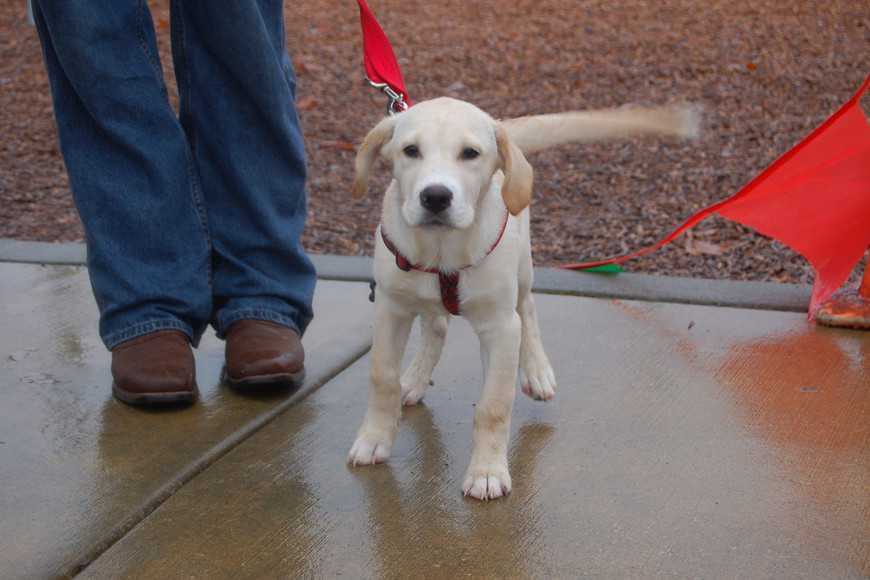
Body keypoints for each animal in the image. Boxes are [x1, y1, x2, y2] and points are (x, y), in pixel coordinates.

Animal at [350, 97, 700, 500]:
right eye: (410, 151)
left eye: (470, 153)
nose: (435, 197)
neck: (442, 249)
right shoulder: (390, 309)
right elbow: (382, 376)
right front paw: (373, 439)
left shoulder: (501, 327)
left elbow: (493, 404)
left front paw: (487, 472)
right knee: (437, 325)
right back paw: (417, 377)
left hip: (522, 268)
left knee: (527, 309)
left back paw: (536, 371)